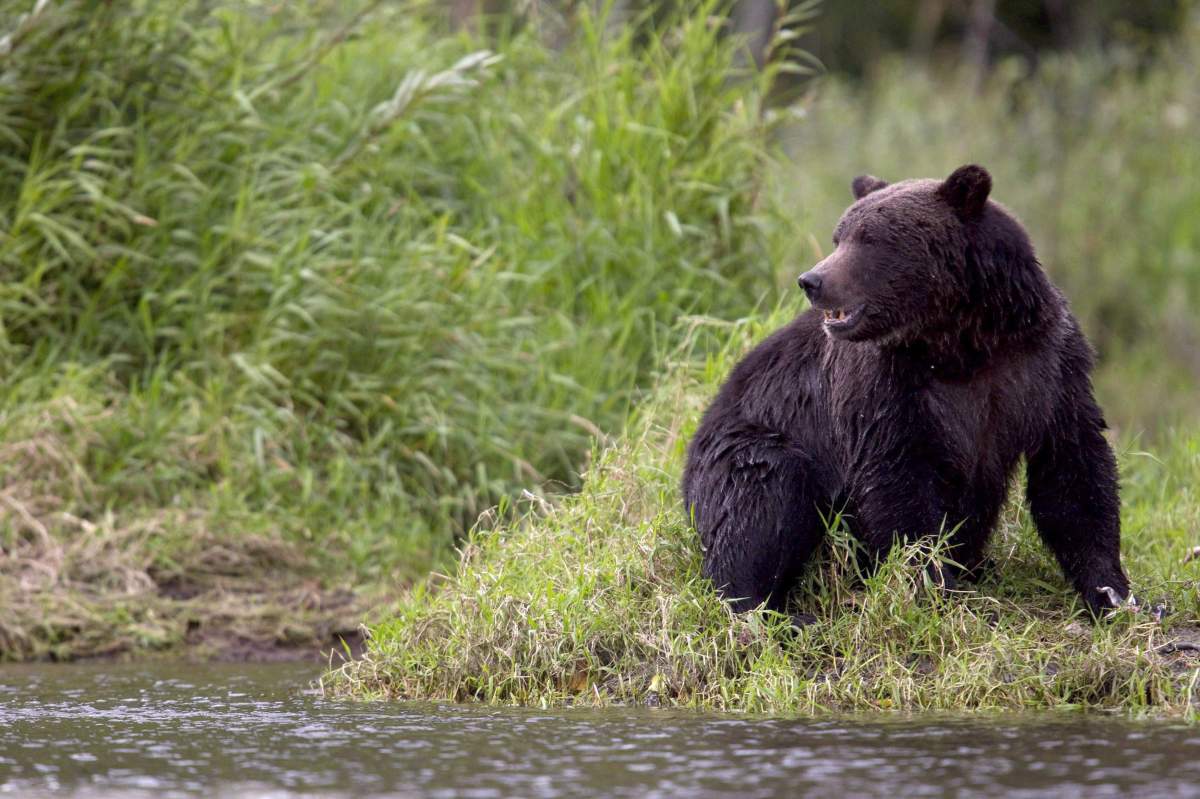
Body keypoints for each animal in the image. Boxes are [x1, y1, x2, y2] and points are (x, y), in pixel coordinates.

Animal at [682, 164, 1130, 621]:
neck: (962, 342)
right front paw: (934, 587)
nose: (812, 280)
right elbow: (898, 483)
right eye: (839, 236)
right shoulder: (885, 385)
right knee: (761, 495)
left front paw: (1113, 593)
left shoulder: (1044, 365)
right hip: (746, 442)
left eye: (869, 239)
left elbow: (1072, 469)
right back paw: (771, 610)